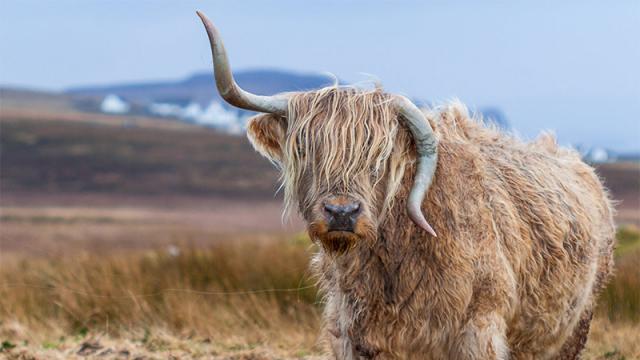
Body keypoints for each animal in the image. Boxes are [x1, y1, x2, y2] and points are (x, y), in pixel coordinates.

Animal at [199, 11, 616, 360]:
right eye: (304, 148)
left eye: (381, 156)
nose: (341, 212)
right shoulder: (351, 335)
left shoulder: (479, 328)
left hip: (576, 325)